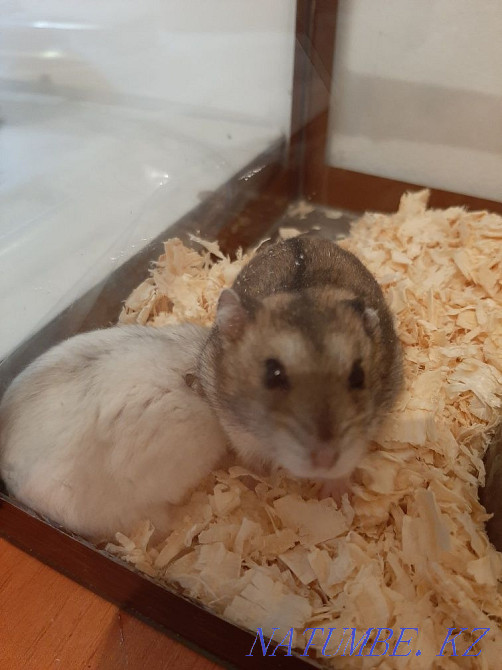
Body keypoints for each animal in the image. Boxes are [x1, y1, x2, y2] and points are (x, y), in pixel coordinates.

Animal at [198, 235, 403, 493]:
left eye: (358, 376)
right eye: (273, 375)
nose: (326, 459)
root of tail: (301, 237)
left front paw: (335, 496)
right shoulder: (238, 431)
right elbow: (254, 461)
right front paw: (252, 485)